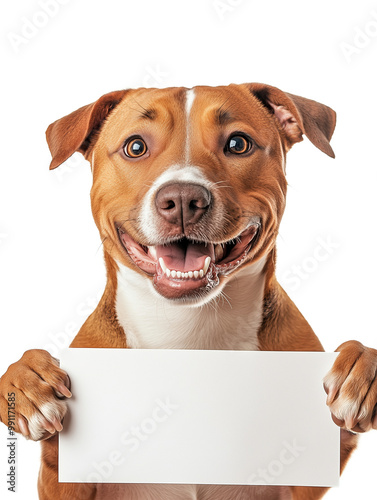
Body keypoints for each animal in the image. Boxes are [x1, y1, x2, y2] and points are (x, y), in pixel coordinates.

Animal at [0, 83, 376, 500]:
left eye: (238, 144)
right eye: (135, 147)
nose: (182, 199)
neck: (188, 332)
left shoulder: (301, 484)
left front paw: (361, 372)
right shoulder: (65, 480)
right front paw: (27, 384)